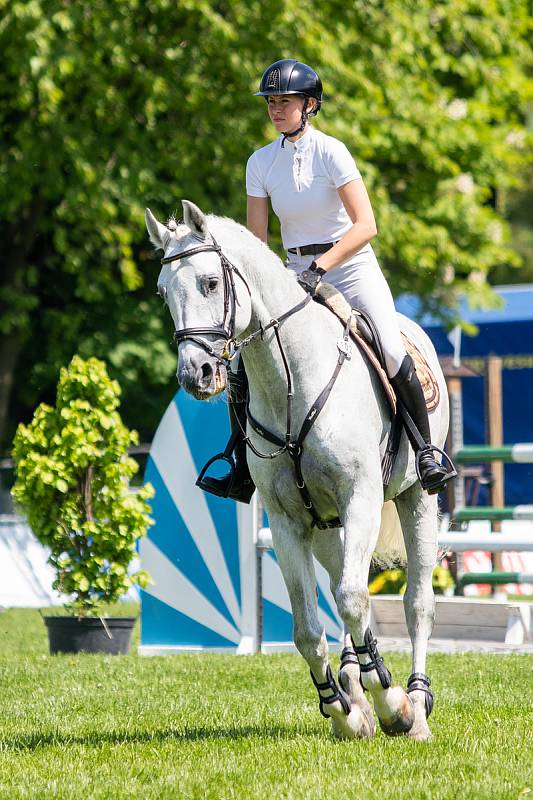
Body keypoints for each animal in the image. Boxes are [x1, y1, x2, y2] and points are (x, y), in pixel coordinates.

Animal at [144, 202, 444, 744]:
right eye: (163, 292)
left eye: (210, 283)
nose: (196, 376)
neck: (292, 379)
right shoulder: (287, 520)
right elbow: (308, 627)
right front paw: (345, 712)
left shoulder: (361, 499)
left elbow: (353, 598)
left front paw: (392, 706)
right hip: (325, 524)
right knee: (341, 586)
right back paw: (355, 685)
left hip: (416, 500)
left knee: (416, 602)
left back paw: (416, 705)